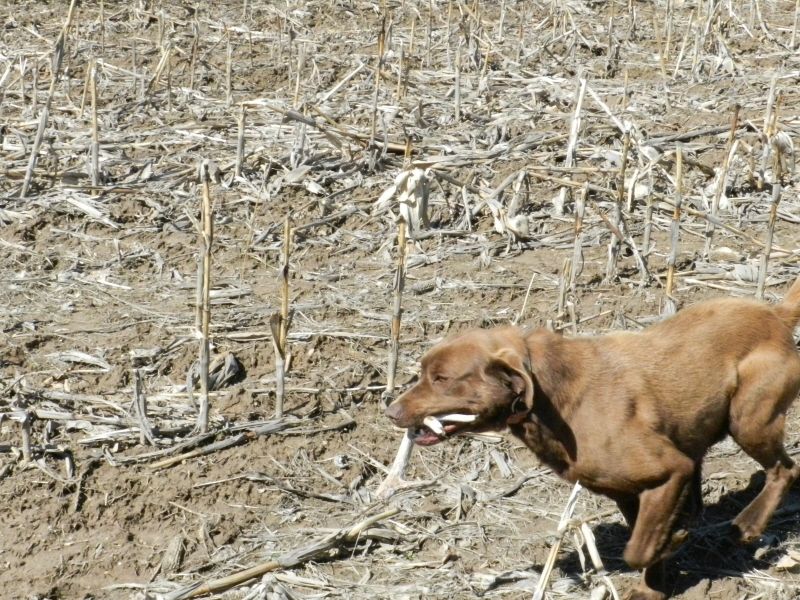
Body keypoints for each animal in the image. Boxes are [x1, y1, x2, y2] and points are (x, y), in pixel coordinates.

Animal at [386, 278, 800, 596]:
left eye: (441, 378)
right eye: (423, 372)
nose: (391, 411)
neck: (550, 397)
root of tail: (776, 315)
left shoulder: (670, 469)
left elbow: (639, 550)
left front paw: (672, 544)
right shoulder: (632, 492)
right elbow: (645, 537)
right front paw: (654, 585)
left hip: (749, 419)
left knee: (784, 469)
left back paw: (748, 525)